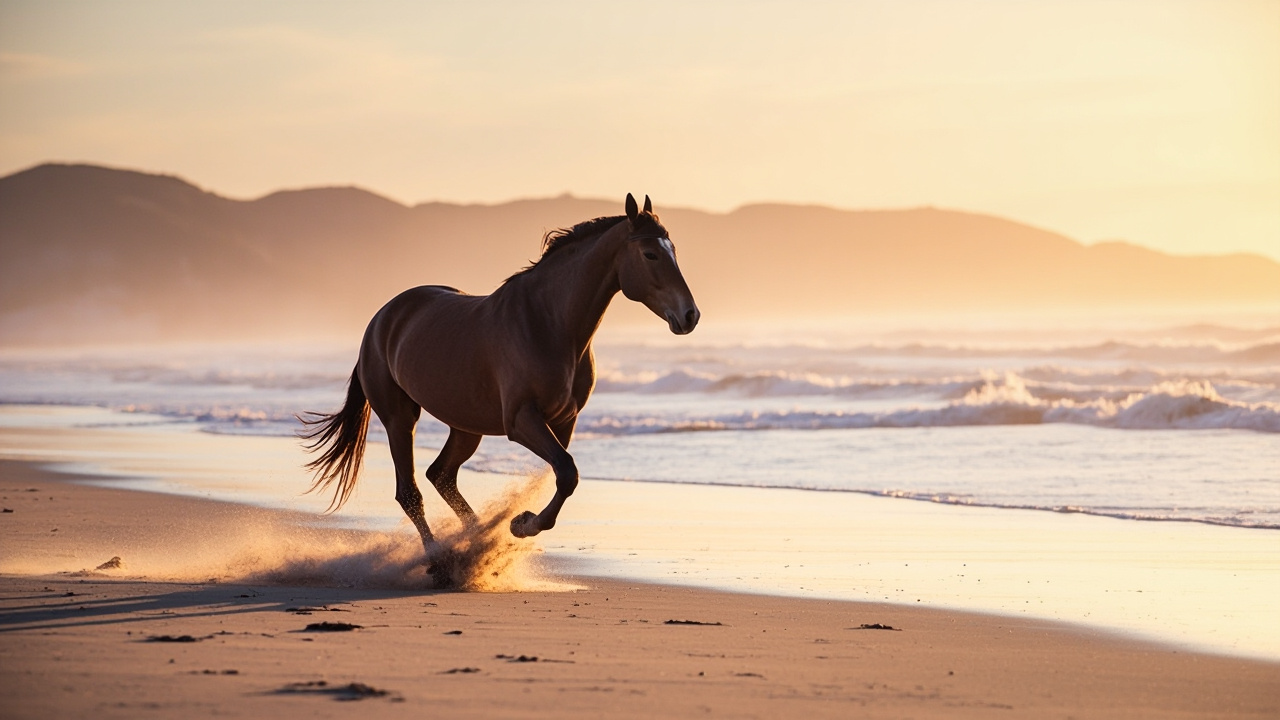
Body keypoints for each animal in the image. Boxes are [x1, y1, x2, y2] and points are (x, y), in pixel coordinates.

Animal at [300, 193, 700, 560]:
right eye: (650, 254)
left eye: (674, 251)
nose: (689, 315)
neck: (548, 324)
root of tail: (380, 319)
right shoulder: (521, 420)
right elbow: (566, 471)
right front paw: (522, 524)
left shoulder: (564, 420)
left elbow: (559, 475)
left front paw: (518, 523)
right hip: (400, 418)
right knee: (410, 492)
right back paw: (439, 560)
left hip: (466, 426)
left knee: (440, 475)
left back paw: (474, 544)